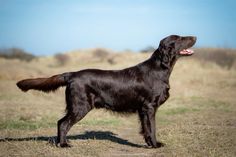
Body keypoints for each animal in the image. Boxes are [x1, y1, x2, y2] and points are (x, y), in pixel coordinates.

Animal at [16, 35, 196, 148]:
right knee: (63, 123)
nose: (194, 37)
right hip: (81, 106)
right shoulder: (149, 107)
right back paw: (64, 145)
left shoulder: (143, 109)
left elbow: (146, 128)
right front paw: (156, 145)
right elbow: (152, 128)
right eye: (180, 38)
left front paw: (149, 144)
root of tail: (72, 74)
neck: (159, 69)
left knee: (61, 122)